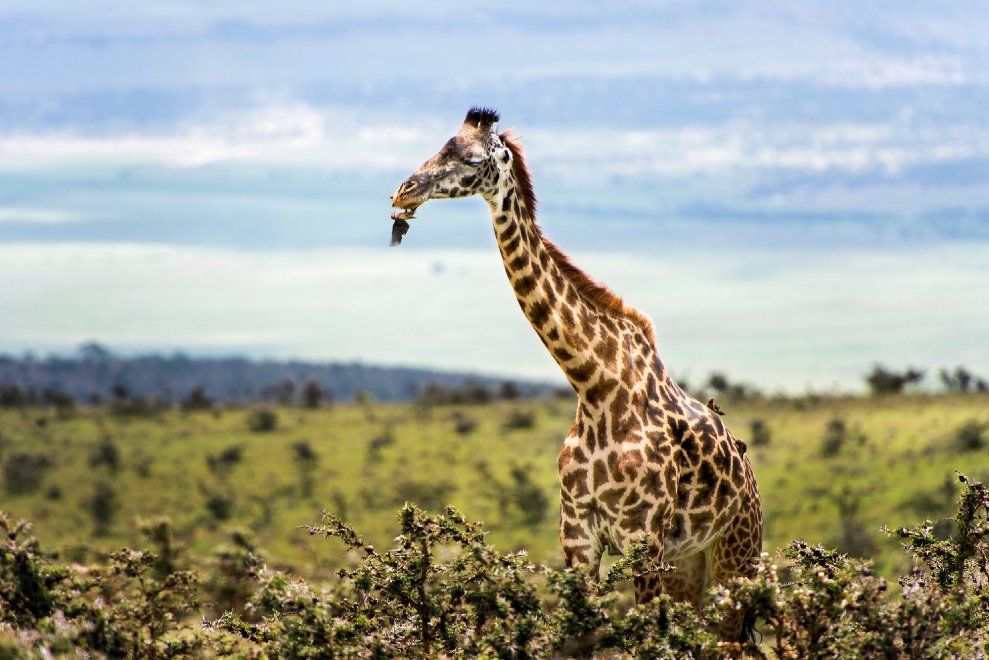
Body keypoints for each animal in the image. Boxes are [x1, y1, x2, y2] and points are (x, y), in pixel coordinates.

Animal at [390, 108, 763, 642]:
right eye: (441, 145)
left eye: (472, 158)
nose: (404, 192)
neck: (595, 384)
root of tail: (751, 480)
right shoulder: (578, 537)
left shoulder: (643, 538)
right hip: (687, 564)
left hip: (735, 557)